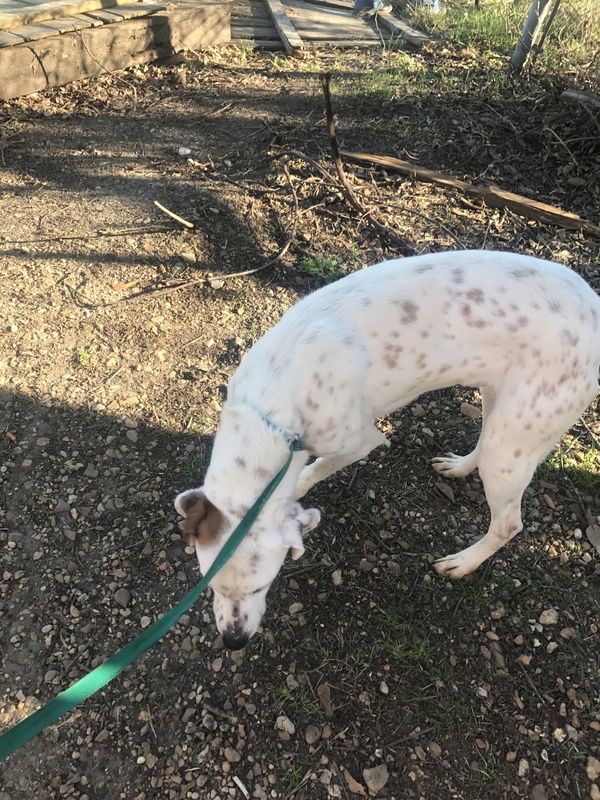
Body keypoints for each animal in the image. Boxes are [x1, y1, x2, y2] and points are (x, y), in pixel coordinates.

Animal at [176, 252, 596, 648]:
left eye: (262, 586)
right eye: (209, 585)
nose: (233, 641)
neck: (270, 413)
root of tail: (591, 304)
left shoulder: (359, 441)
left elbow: (314, 470)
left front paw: (301, 487)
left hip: (512, 441)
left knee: (508, 523)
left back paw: (462, 563)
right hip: (500, 409)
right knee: (484, 441)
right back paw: (460, 466)